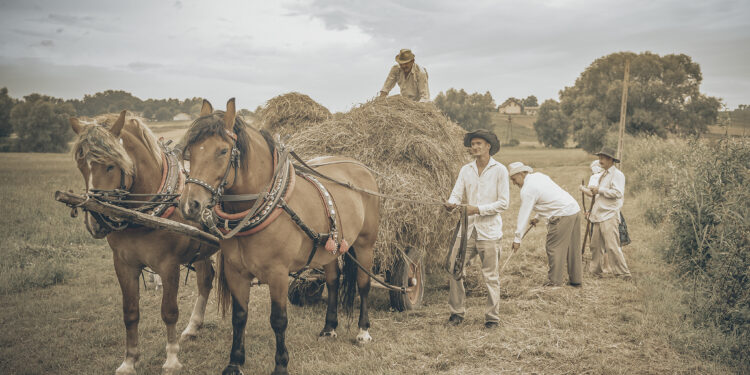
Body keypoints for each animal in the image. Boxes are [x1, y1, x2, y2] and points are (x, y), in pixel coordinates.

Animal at [70, 111, 220, 375]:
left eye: (111, 164)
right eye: (81, 164)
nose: (95, 222)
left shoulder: (169, 265)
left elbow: (169, 311)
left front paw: (172, 359)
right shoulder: (123, 264)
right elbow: (130, 312)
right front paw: (129, 360)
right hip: (201, 247)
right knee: (205, 279)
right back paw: (193, 326)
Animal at [180, 100, 382, 375]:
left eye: (222, 151)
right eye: (190, 151)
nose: (190, 205)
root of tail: (360, 167)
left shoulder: (278, 273)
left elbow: (278, 320)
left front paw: (280, 364)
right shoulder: (236, 272)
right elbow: (239, 316)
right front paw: (235, 362)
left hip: (365, 245)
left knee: (363, 284)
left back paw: (363, 331)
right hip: (329, 248)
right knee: (333, 281)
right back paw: (329, 327)